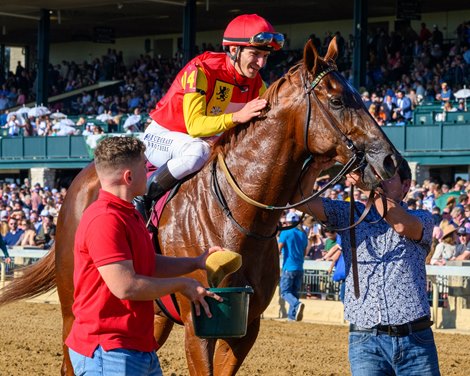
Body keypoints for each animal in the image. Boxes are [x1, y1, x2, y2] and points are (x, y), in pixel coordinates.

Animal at [1, 39, 402, 376]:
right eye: (337, 101)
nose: (392, 162)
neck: (236, 216)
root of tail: (78, 183)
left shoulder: (245, 327)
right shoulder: (198, 325)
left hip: (152, 314)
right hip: (75, 303)